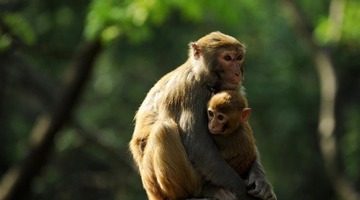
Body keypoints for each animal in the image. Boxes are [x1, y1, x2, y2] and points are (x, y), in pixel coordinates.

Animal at [129, 32, 270, 199]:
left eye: (239, 57)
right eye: (227, 58)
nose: (237, 73)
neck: (203, 77)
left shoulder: (234, 89)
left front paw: (260, 181)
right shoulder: (190, 89)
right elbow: (197, 144)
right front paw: (241, 191)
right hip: (157, 185)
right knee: (164, 130)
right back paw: (203, 190)